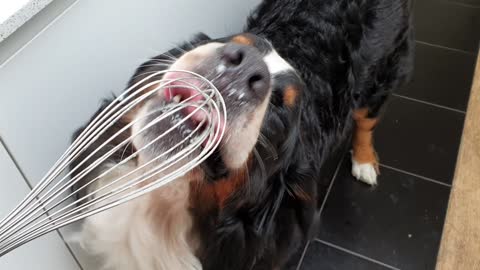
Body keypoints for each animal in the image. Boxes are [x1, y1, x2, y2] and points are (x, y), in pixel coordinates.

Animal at [69, 1, 414, 268]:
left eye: (279, 105)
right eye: (235, 42)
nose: (245, 66)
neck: (159, 201)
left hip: (382, 77)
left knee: (366, 121)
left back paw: (364, 162)